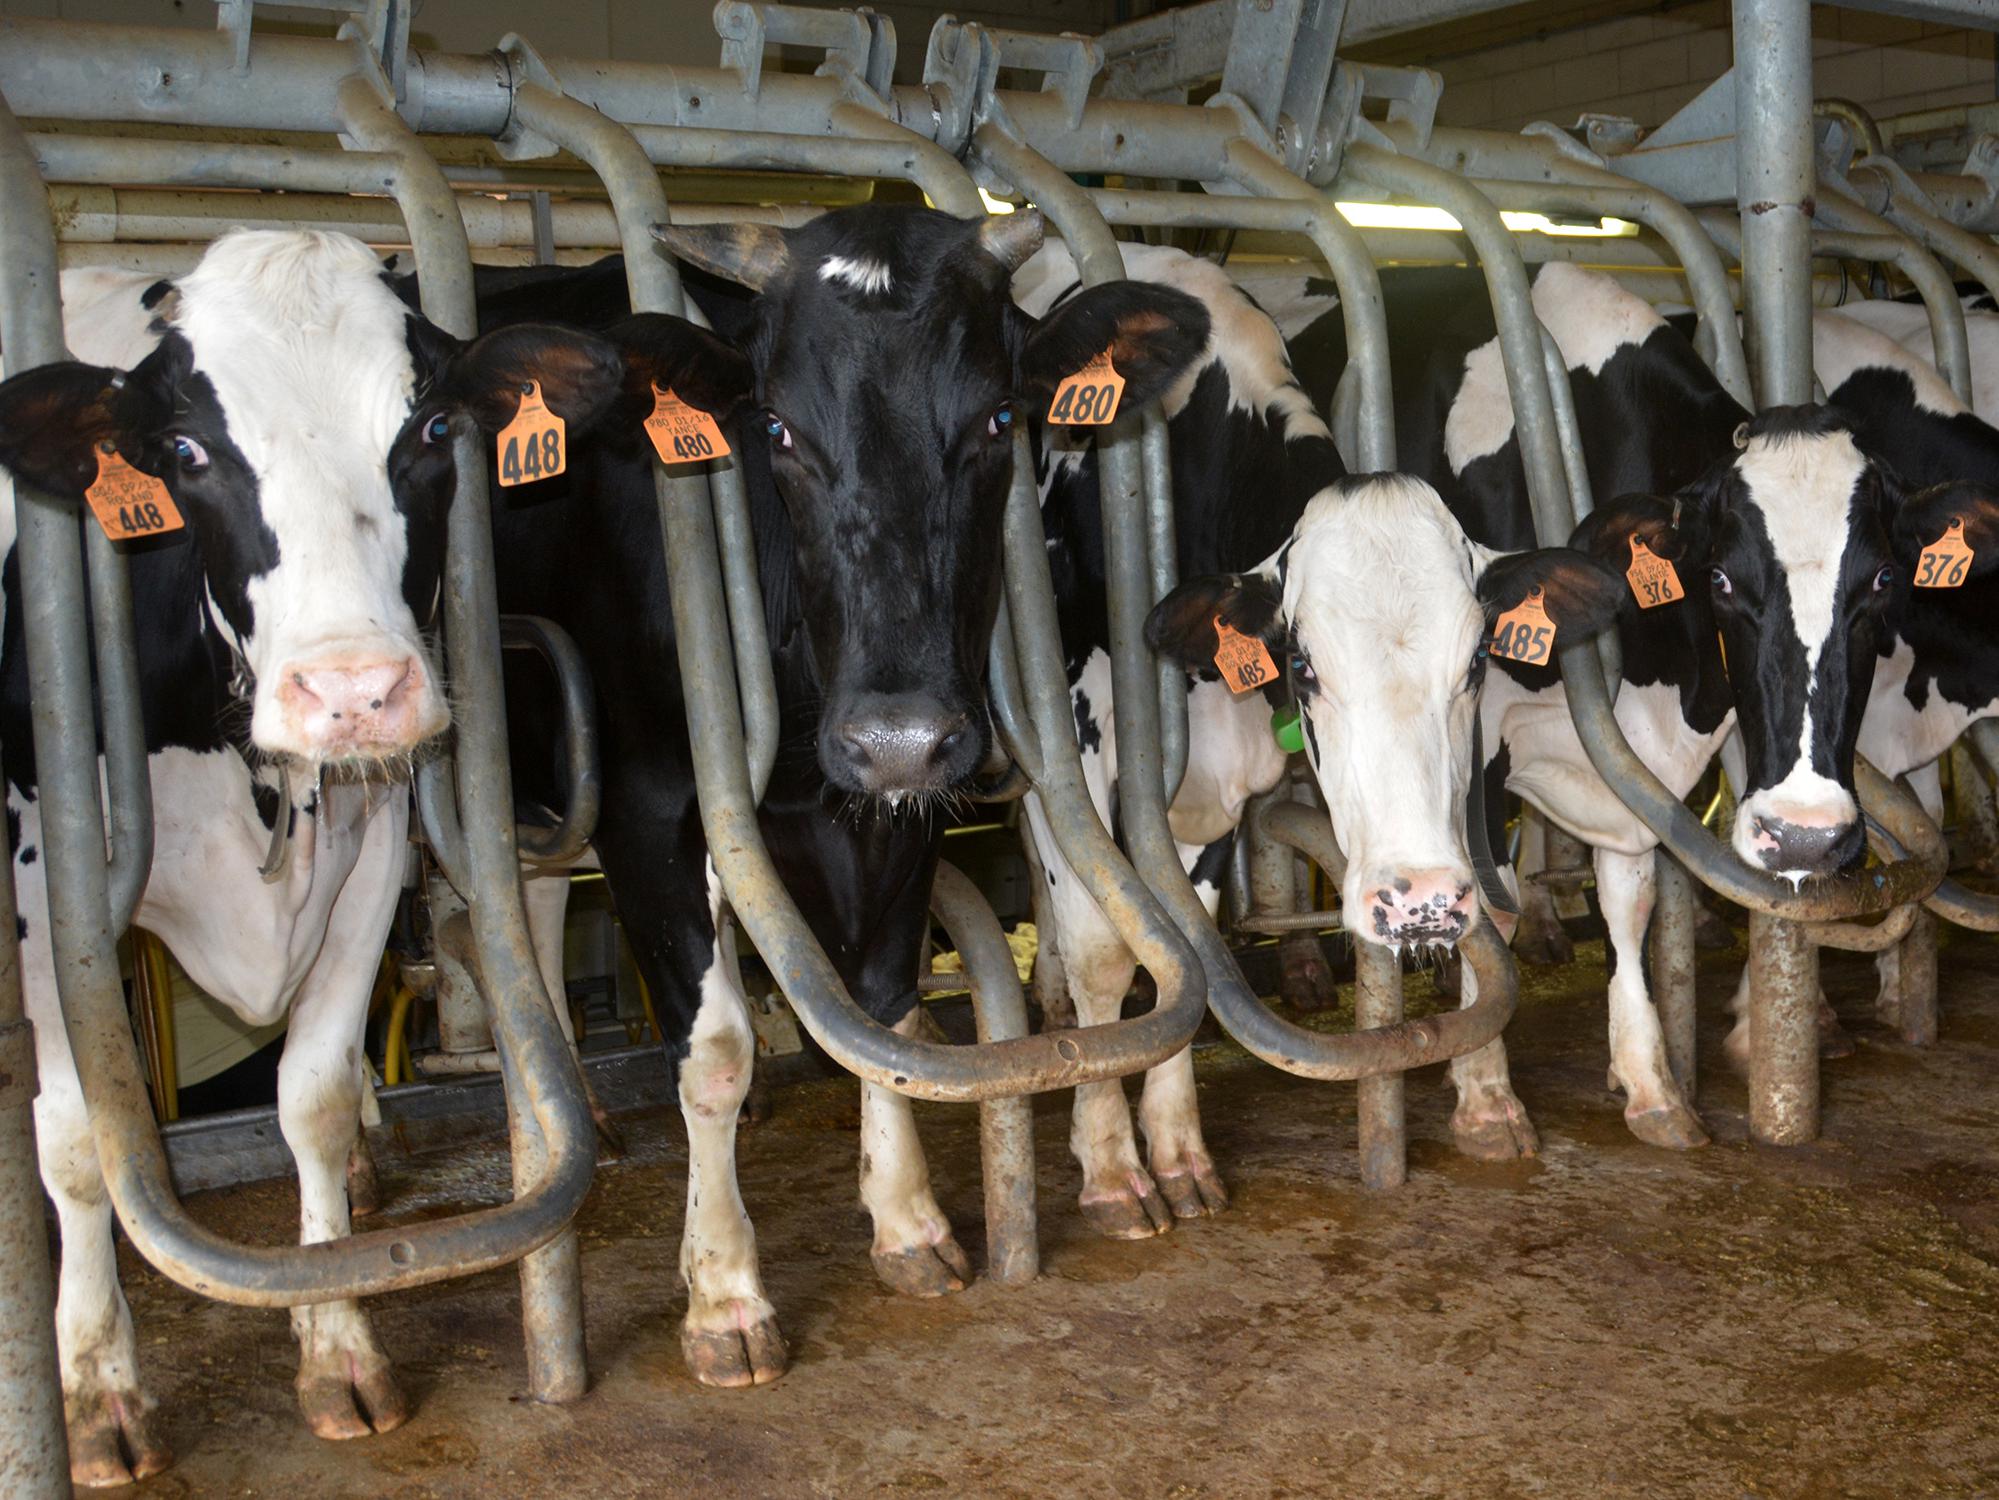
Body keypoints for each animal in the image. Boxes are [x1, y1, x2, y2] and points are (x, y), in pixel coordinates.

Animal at [0, 229, 623, 1488]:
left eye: (430, 430)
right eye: (187, 450)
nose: (352, 691)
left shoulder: (371, 841)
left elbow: (316, 1101)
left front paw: (338, 1349)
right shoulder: (50, 880)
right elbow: (81, 1140)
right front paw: (96, 1391)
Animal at [433, 212, 1215, 1400]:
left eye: (998, 418)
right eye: (778, 430)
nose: (893, 736)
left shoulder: (897, 810)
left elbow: (879, 1005)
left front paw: (905, 1221)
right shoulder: (650, 810)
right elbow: (712, 1052)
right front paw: (724, 1293)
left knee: (533, 905)